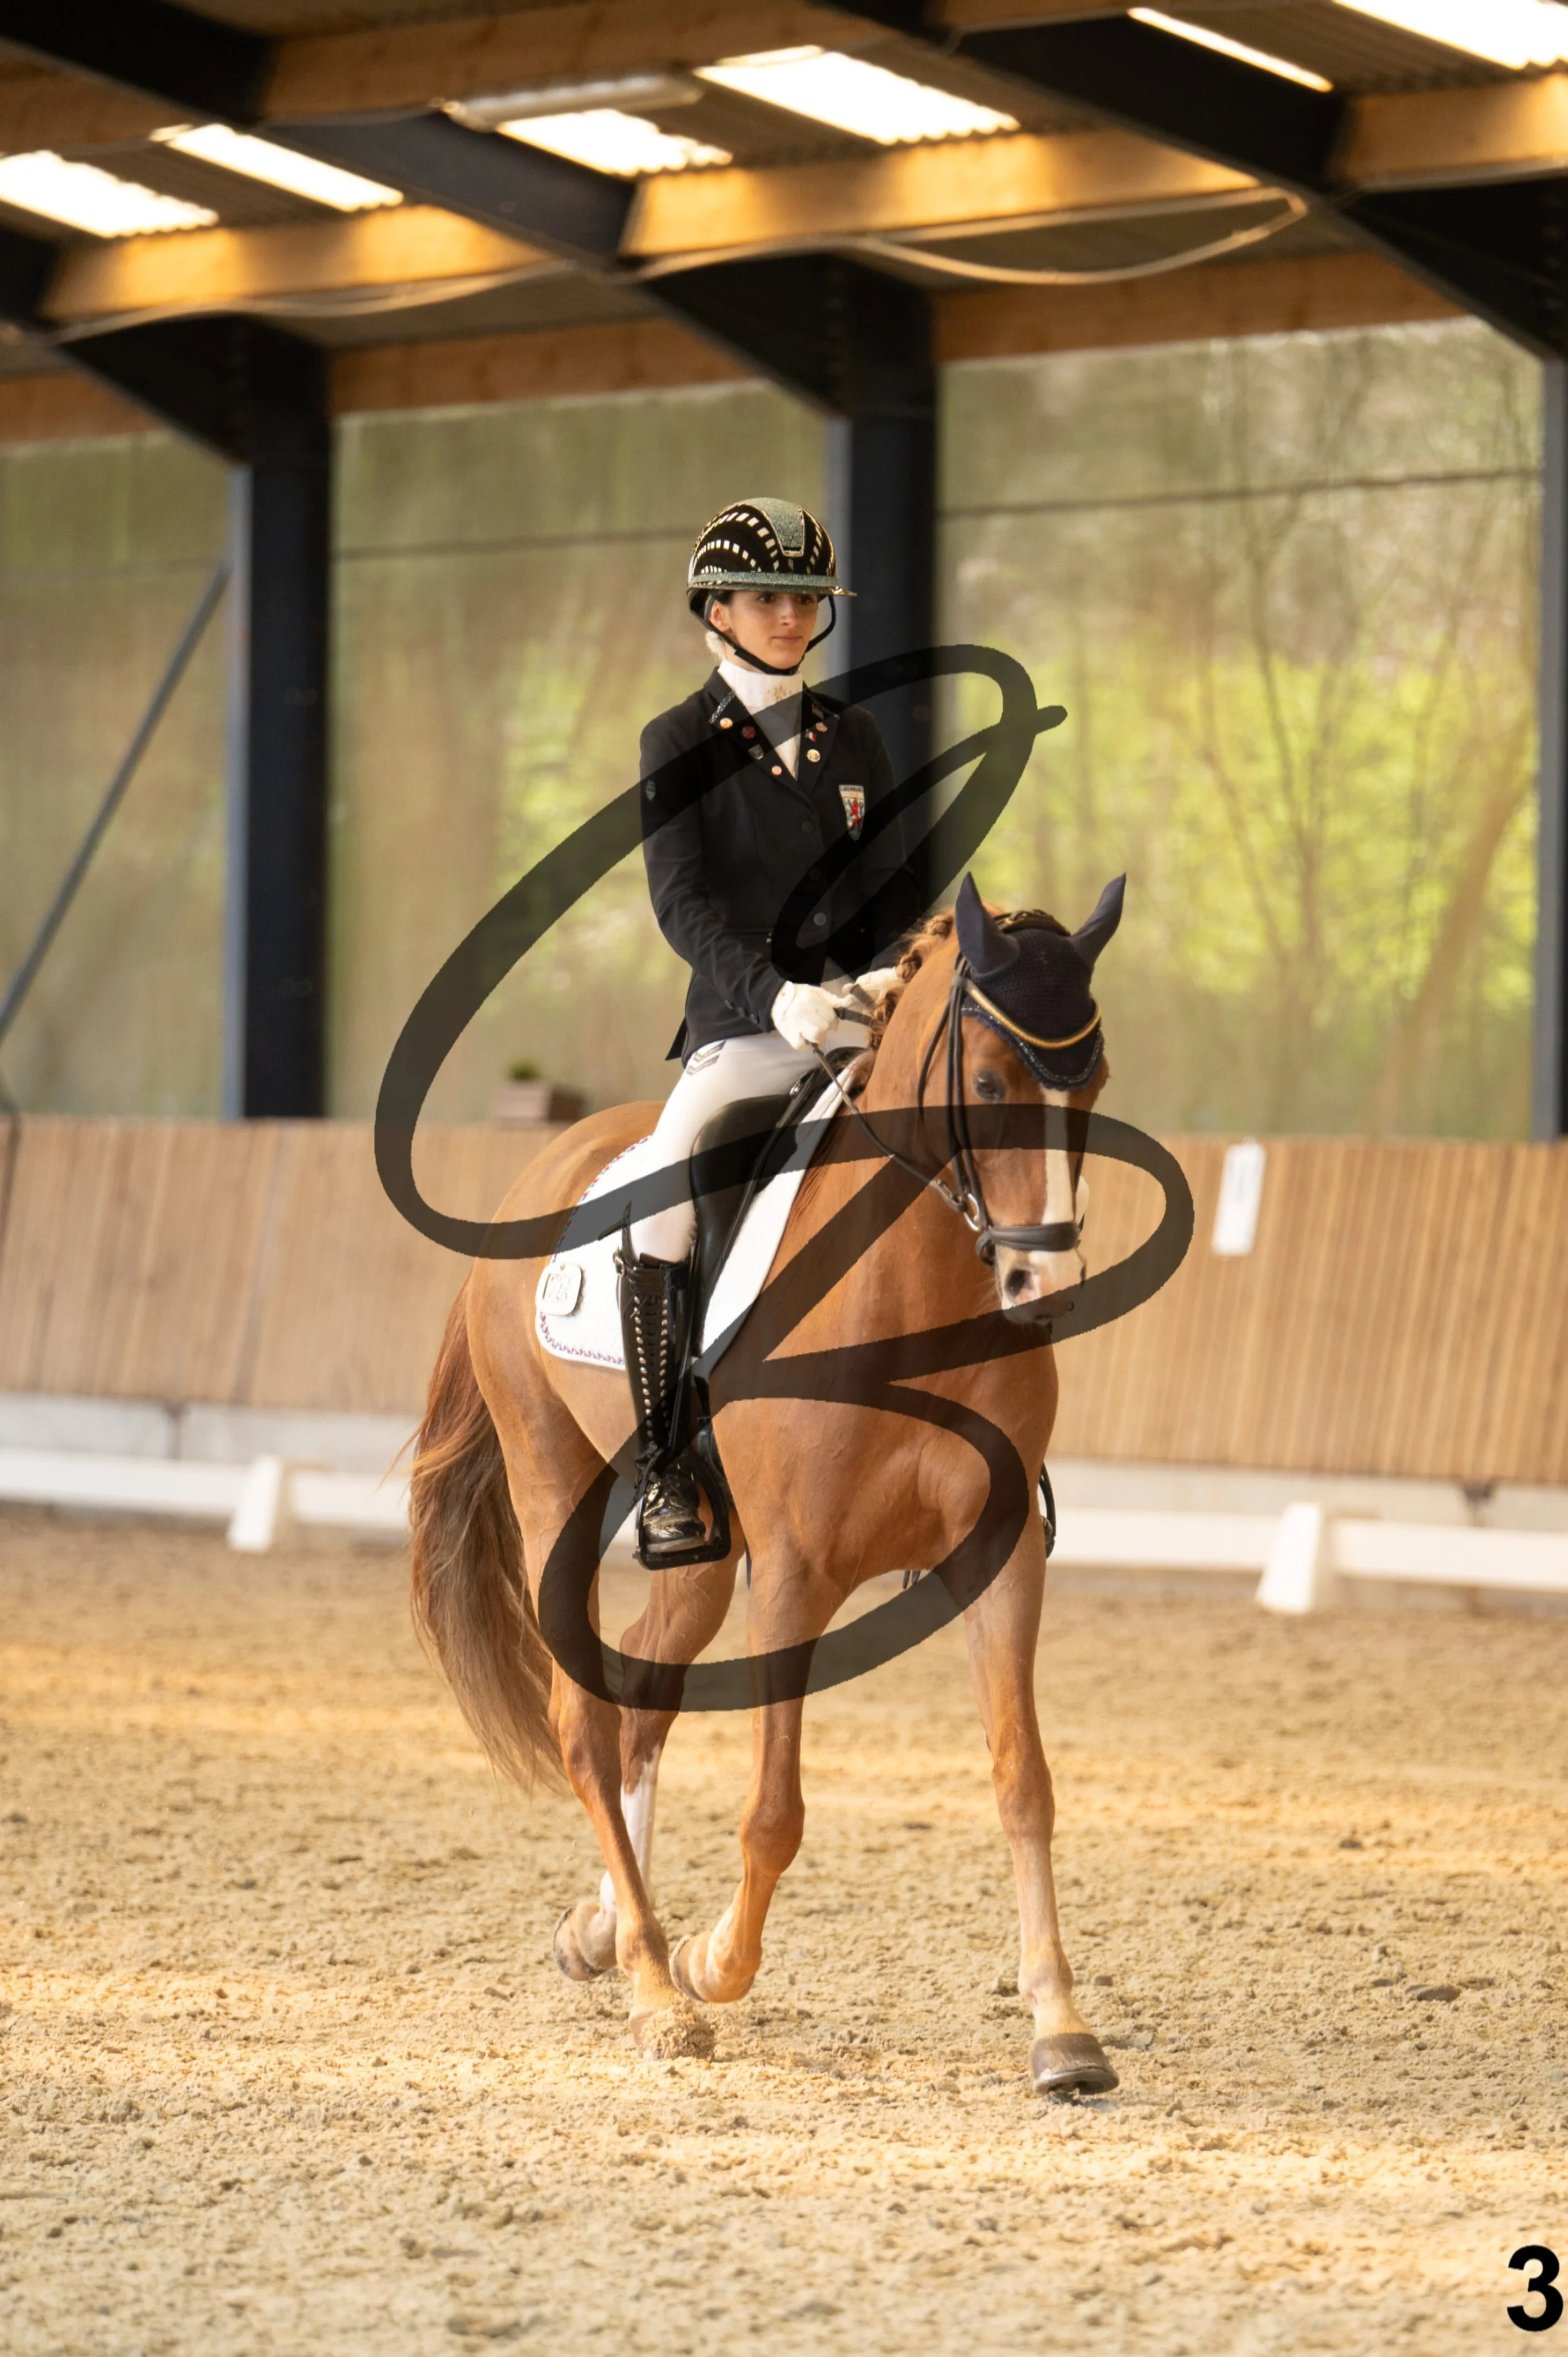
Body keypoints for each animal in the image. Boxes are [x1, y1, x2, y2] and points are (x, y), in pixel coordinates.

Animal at [409, 880, 1122, 2098]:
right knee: (585, 1720)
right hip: (556, 1491)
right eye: (988, 1085)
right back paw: (657, 1987)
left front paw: (1064, 2031)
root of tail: (543, 1170)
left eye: (1097, 1080)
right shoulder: (794, 1574)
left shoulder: (1000, 1553)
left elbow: (1024, 1781)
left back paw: (607, 1932)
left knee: (641, 1694)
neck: (910, 1290)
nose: (1046, 1282)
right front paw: (711, 1964)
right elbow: (774, 1813)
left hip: (700, 1552)